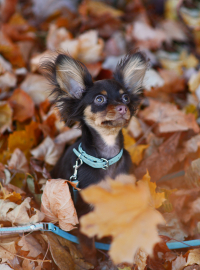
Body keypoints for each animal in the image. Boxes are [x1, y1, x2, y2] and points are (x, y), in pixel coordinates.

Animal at [41, 52, 148, 264]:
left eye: (125, 97)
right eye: (99, 99)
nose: (123, 107)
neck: (106, 160)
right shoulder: (84, 211)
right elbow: (88, 241)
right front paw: (91, 261)